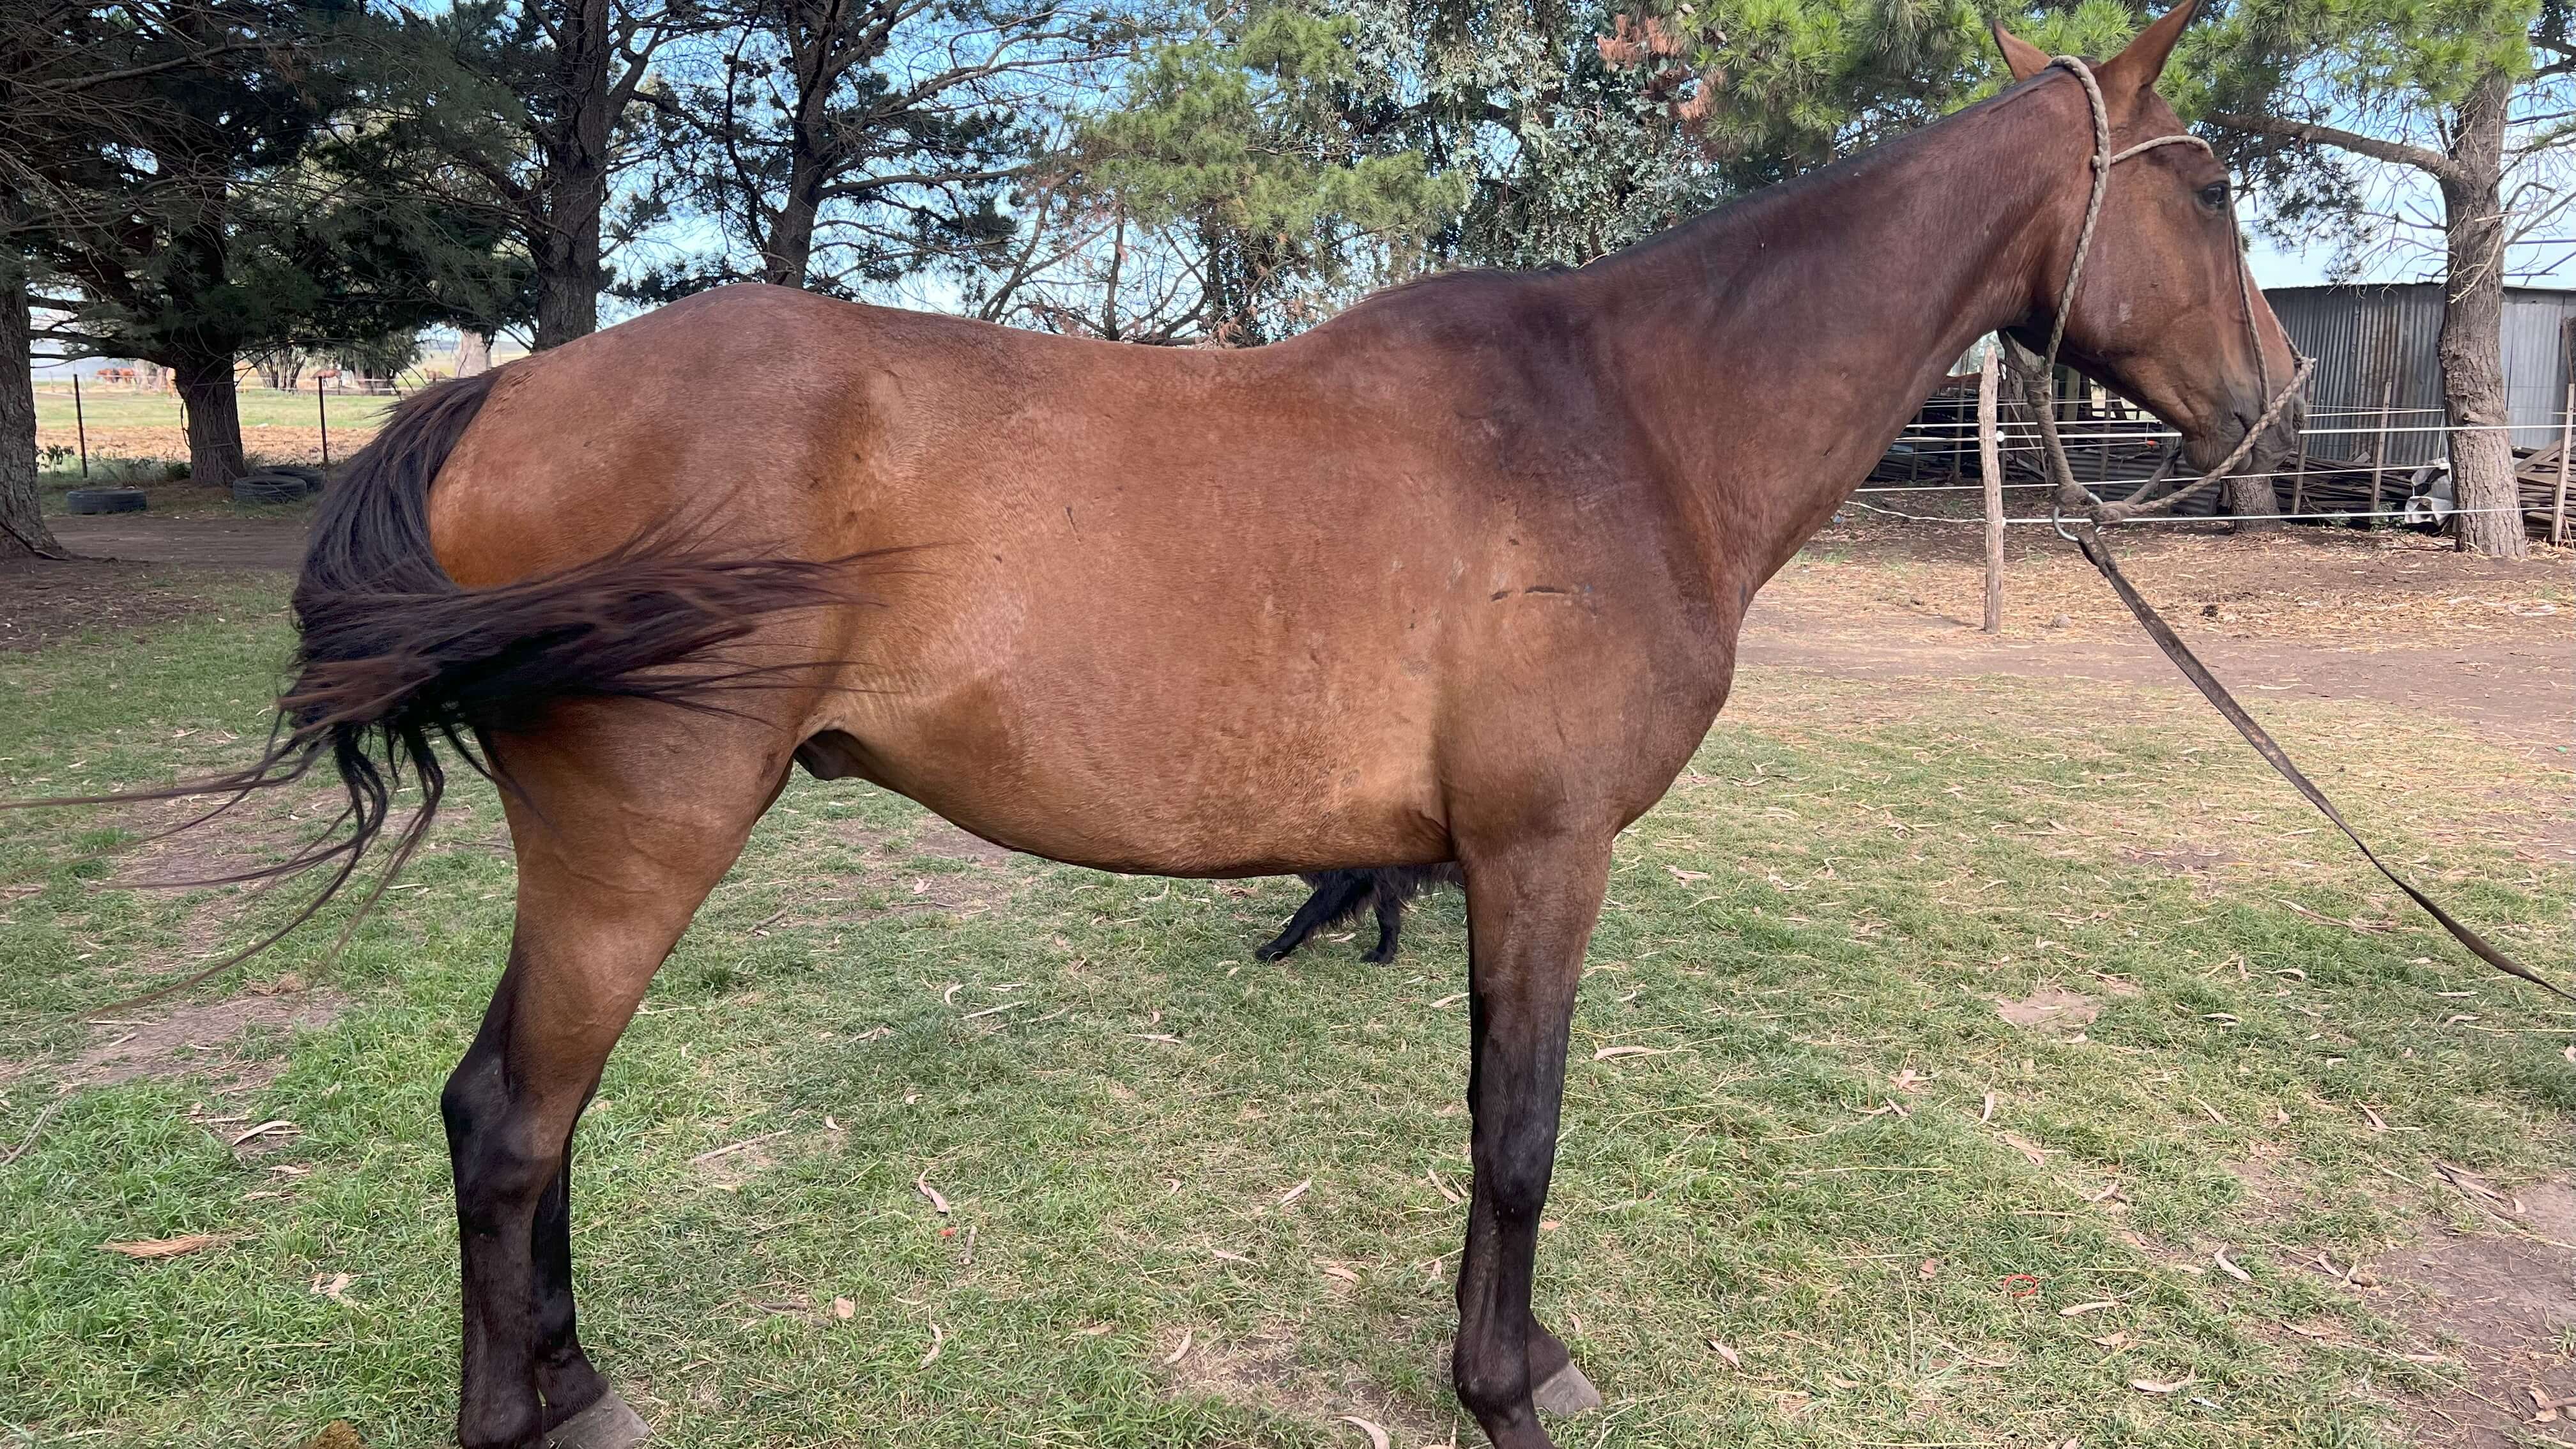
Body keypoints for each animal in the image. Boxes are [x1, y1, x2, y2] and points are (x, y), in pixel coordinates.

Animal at [1257, 865, 1464, 963]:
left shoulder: (1349, 878)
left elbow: (1306, 913)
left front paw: (1275, 949)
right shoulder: (1382, 880)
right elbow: (1388, 921)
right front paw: (1384, 955)